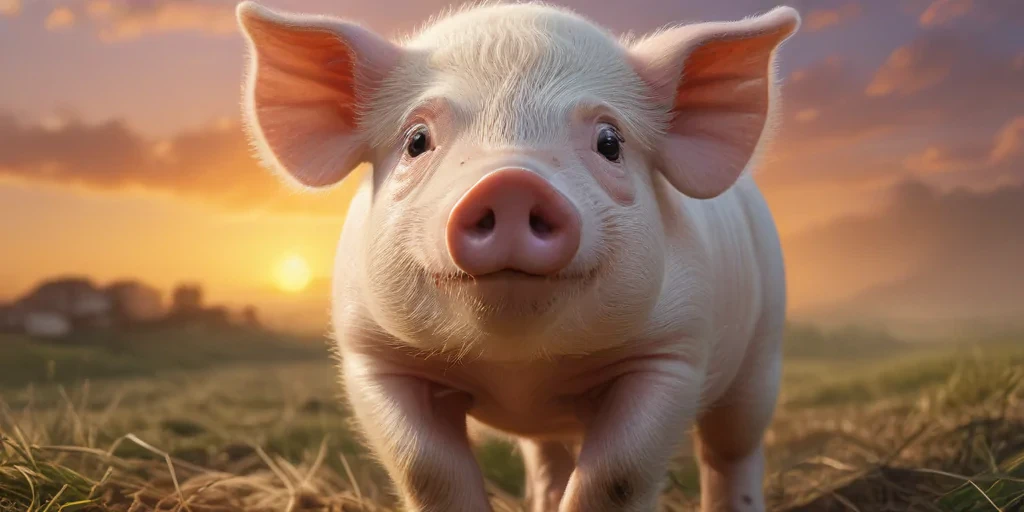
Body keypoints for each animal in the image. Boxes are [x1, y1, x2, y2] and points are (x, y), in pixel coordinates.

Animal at [236, 1, 799, 511]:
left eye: (610, 142)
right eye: (417, 140)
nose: (511, 182)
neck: (520, 369)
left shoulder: (673, 350)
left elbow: (616, 476)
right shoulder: (372, 355)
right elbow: (426, 471)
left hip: (764, 349)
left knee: (732, 448)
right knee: (549, 459)